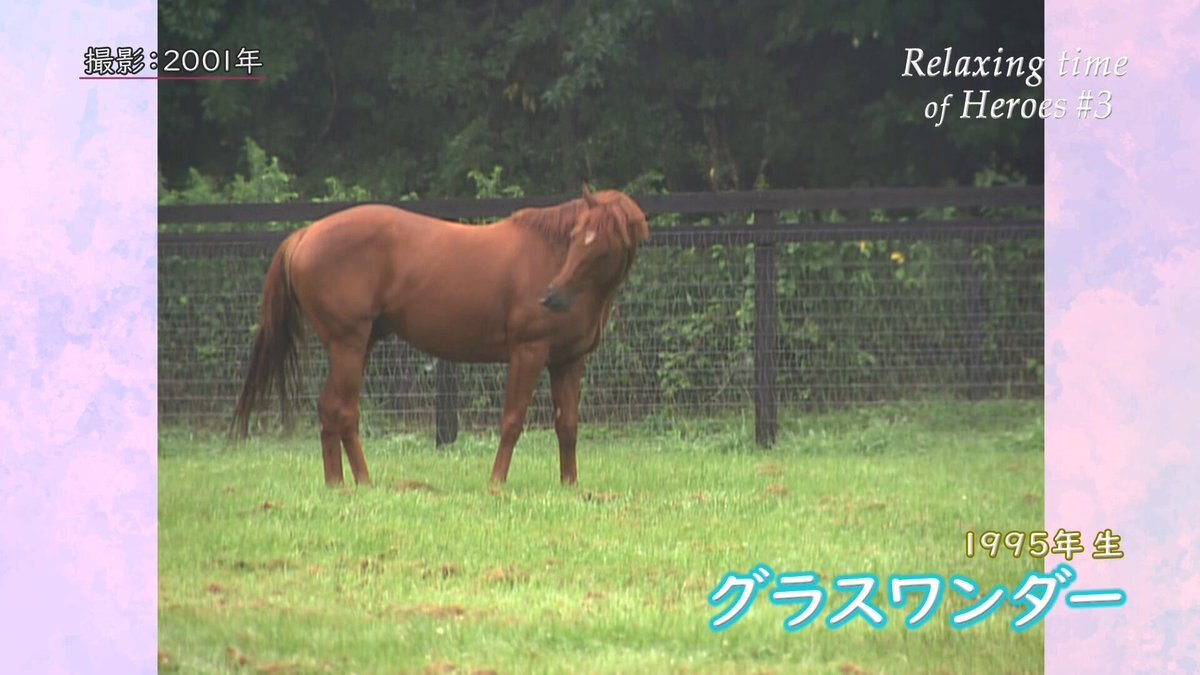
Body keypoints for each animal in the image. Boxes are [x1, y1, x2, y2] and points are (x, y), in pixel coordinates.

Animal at [232, 186, 649, 487]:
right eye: (577, 237)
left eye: (602, 247)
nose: (552, 296)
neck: (549, 252)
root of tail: (305, 235)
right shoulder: (528, 353)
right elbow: (513, 420)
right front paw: (496, 483)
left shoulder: (568, 361)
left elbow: (568, 426)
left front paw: (570, 486)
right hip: (348, 344)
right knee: (344, 411)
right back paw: (364, 482)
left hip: (355, 346)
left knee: (328, 408)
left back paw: (336, 484)